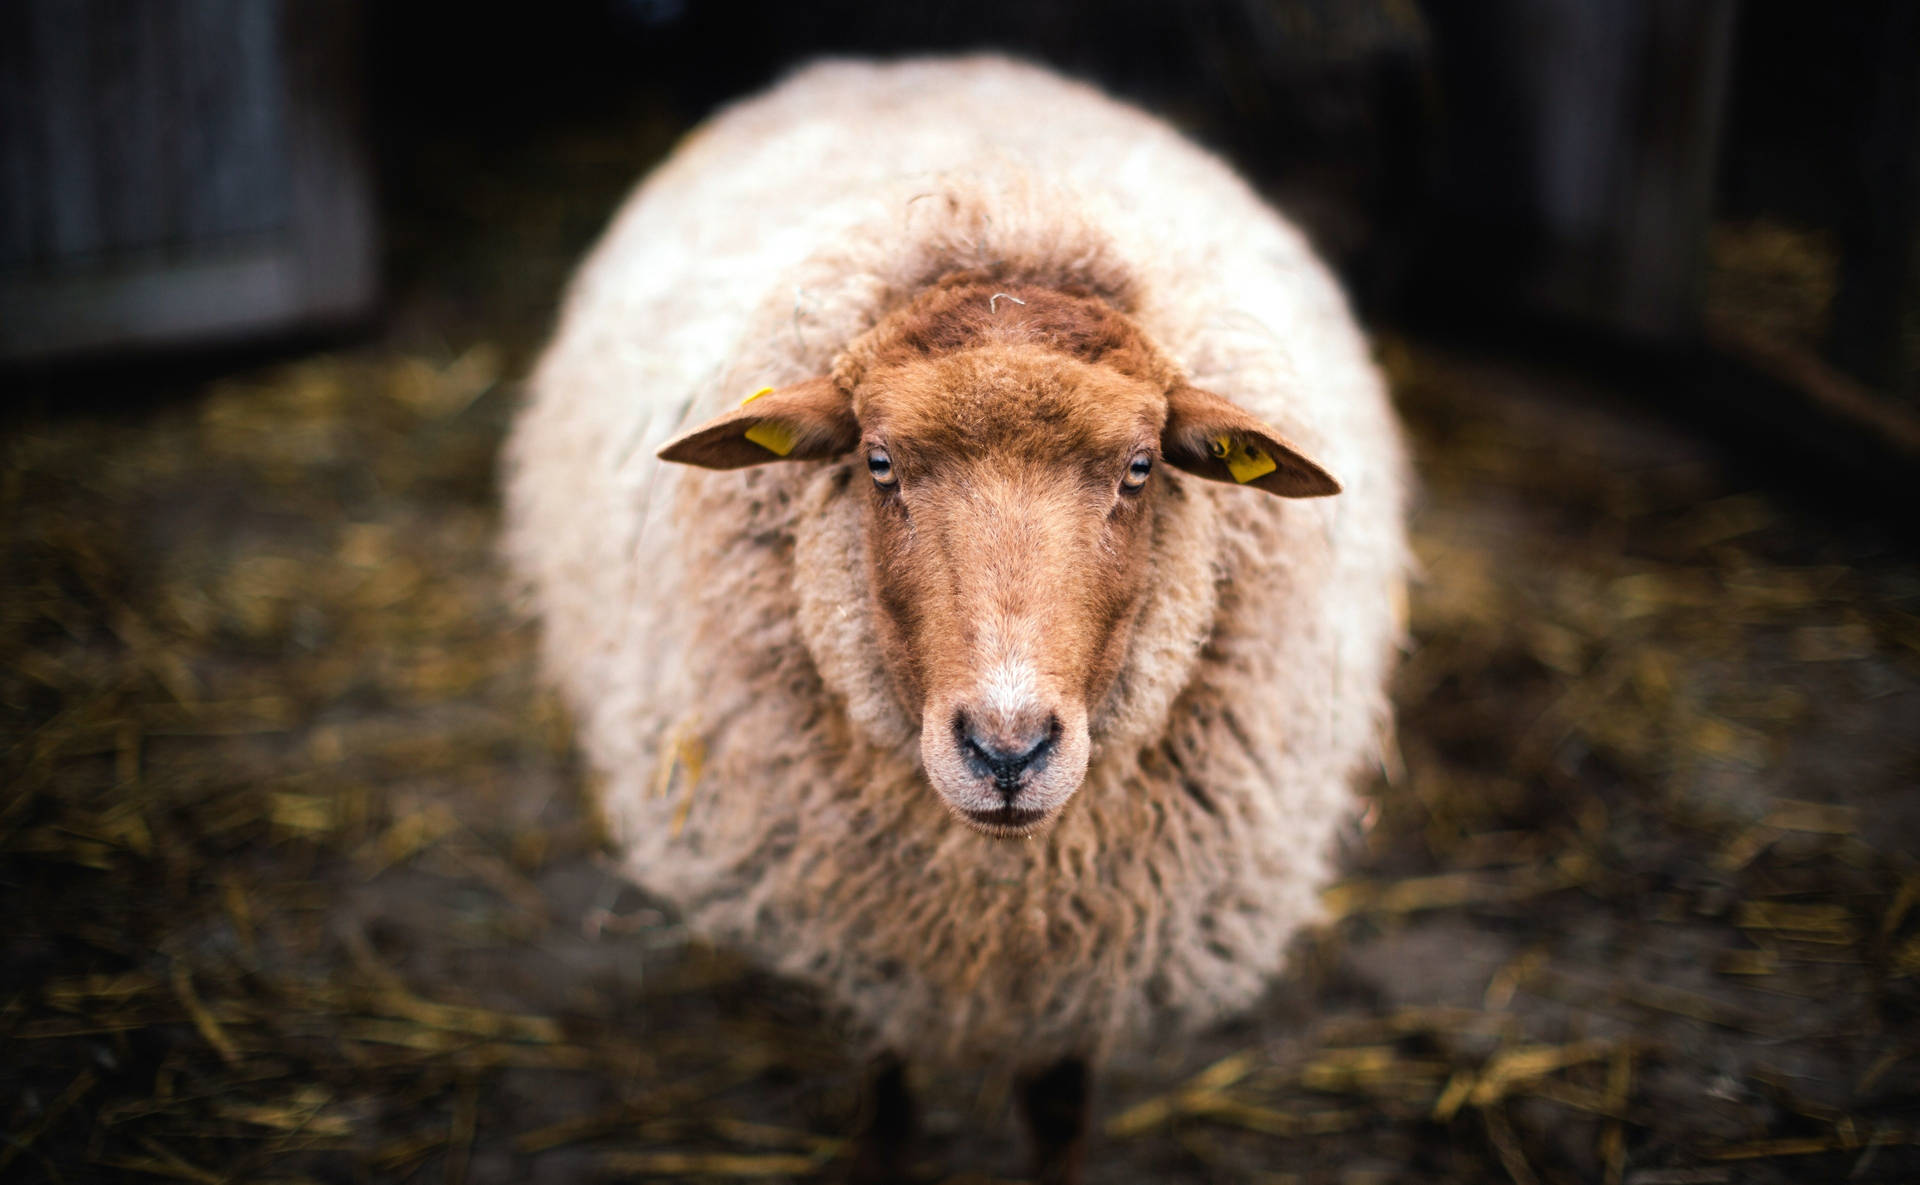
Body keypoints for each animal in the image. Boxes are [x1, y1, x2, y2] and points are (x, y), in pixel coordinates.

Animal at [502, 55, 1408, 1182]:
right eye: (879, 461)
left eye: (1140, 468)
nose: (1006, 750)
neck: (997, 895)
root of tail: (913, 66)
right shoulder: (876, 944)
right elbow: (888, 1087)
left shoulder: (1087, 961)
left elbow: (1058, 1106)